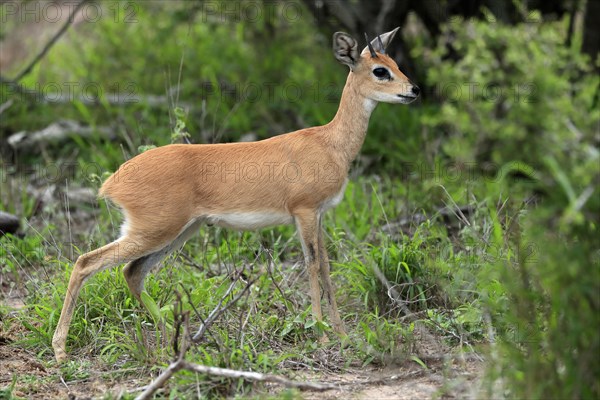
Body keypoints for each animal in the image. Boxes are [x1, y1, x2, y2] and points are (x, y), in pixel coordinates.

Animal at [51, 26, 420, 360]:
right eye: (380, 70)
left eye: (394, 62)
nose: (414, 89)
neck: (330, 144)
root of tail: (113, 181)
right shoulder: (303, 211)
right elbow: (312, 266)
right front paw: (323, 336)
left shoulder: (319, 214)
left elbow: (327, 268)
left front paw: (342, 334)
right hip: (154, 231)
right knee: (85, 262)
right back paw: (61, 351)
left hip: (179, 232)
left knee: (132, 272)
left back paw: (180, 341)